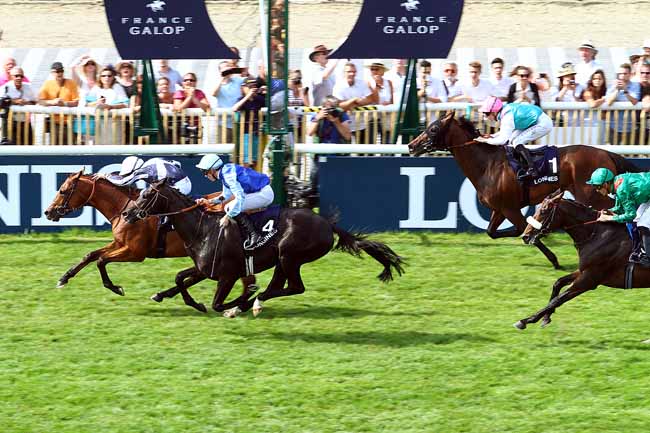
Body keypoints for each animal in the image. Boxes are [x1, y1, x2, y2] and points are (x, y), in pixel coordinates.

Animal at [44, 171, 256, 312]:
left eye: (63, 191)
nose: (48, 212)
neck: (124, 209)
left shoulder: (136, 253)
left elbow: (101, 261)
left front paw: (116, 288)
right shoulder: (119, 244)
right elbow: (91, 255)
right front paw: (63, 278)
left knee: (245, 281)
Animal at [122, 179, 405, 318]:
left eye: (146, 195)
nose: (126, 213)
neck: (203, 228)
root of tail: (327, 223)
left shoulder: (227, 275)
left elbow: (217, 303)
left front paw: (235, 302)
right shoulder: (204, 269)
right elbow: (180, 278)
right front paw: (171, 298)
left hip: (290, 256)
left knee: (294, 288)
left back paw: (249, 303)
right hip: (283, 260)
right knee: (280, 286)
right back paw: (252, 303)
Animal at [407, 111, 641, 269]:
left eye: (433, 129)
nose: (411, 145)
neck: (488, 165)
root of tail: (607, 153)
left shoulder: (510, 208)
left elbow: (522, 229)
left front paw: (553, 257)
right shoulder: (500, 208)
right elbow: (492, 232)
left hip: (592, 194)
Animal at [516, 191, 650, 329]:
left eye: (543, 211)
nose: (525, 236)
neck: (596, 235)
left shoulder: (589, 280)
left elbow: (558, 300)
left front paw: (526, 320)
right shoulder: (583, 271)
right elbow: (558, 283)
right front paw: (546, 317)